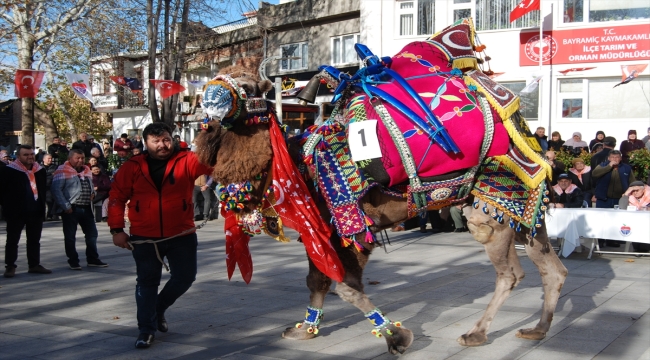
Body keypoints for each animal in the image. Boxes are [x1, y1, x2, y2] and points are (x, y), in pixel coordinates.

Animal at [195, 17, 564, 354]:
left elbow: (346, 286)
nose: (210, 100)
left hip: (489, 205)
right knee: (551, 267)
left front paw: (397, 337)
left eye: (249, 86)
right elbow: (317, 279)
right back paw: (537, 329)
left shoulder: (351, 226)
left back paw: (476, 334)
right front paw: (304, 329)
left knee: (511, 272)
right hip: (523, 208)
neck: (298, 165)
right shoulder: (323, 231)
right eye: (220, 74)